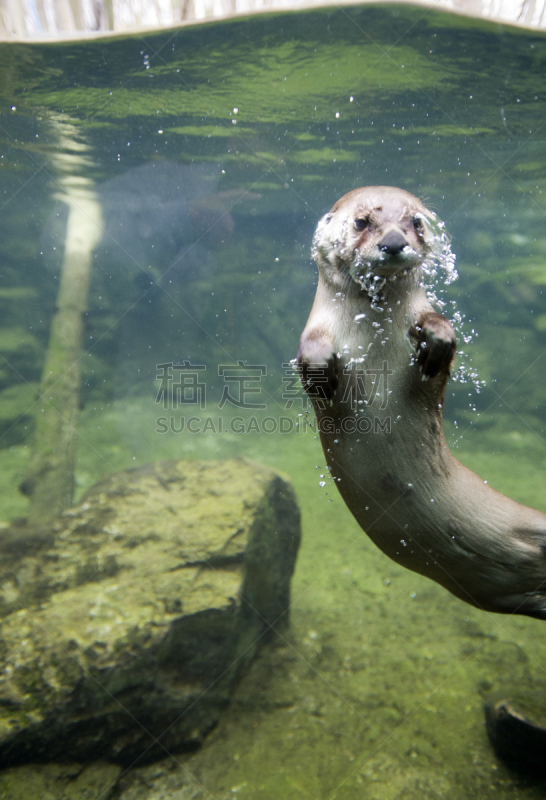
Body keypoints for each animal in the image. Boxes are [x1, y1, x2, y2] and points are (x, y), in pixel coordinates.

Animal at [296, 188, 544, 620]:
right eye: (361, 222)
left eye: (415, 222)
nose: (394, 242)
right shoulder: (315, 328)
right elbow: (309, 351)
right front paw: (322, 372)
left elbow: (439, 338)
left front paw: (436, 339)